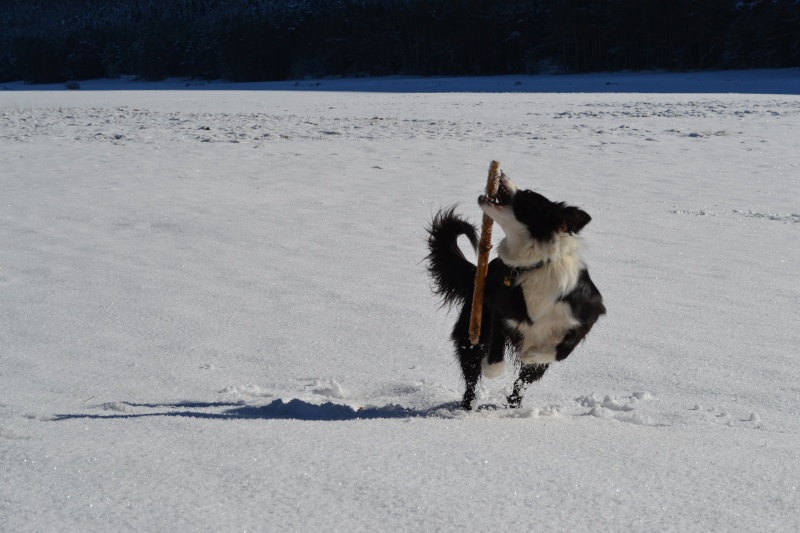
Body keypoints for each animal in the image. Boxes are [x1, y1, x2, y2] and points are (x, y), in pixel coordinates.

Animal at [428, 172, 604, 410]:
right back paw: (469, 406)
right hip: (472, 329)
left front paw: (532, 355)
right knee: (471, 374)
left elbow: (562, 350)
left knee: (522, 383)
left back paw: (514, 405)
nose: (501, 174)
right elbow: (496, 349)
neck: (534, 266)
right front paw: (492, 370)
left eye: (527, 194)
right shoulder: (497, 310)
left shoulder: (588, 313)